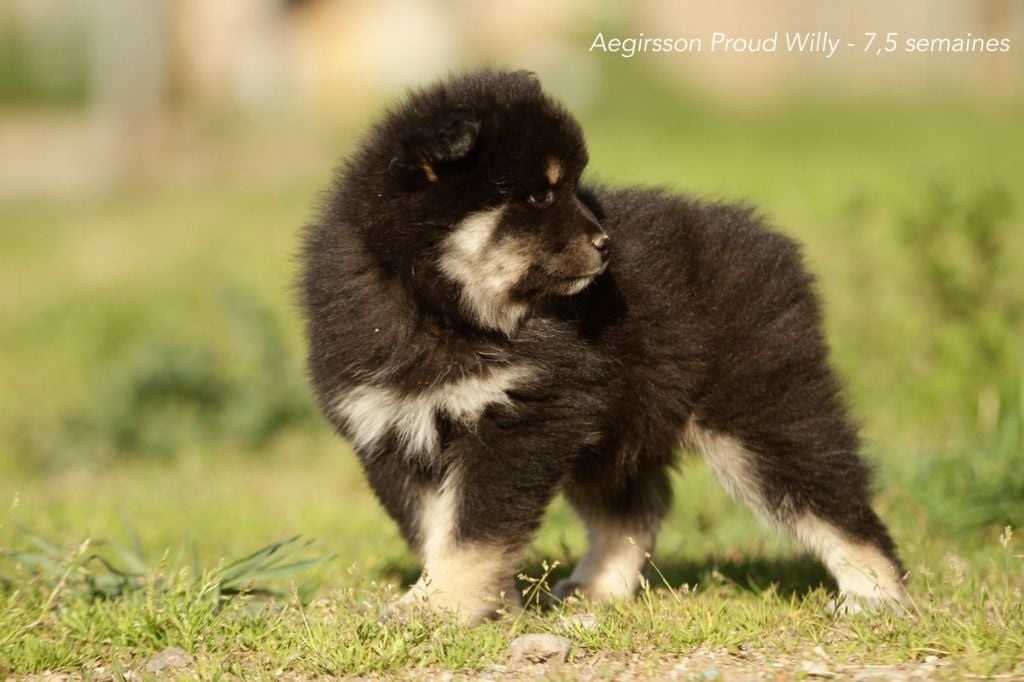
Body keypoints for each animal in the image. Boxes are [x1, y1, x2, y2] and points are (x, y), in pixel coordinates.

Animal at [299, 68, 908, 623]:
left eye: (572, 187)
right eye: (539, 194)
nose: (605, 243)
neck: (440, 307)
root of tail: (771, 241)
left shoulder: (519, 421)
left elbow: (472, 531)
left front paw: (439, 606)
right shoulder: (395, 431)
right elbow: (438, 529)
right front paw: (478, 604)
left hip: (763, 413)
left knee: (835, 502)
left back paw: (878, 595)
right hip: (614, 425)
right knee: (636, 510)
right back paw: (597, 587)